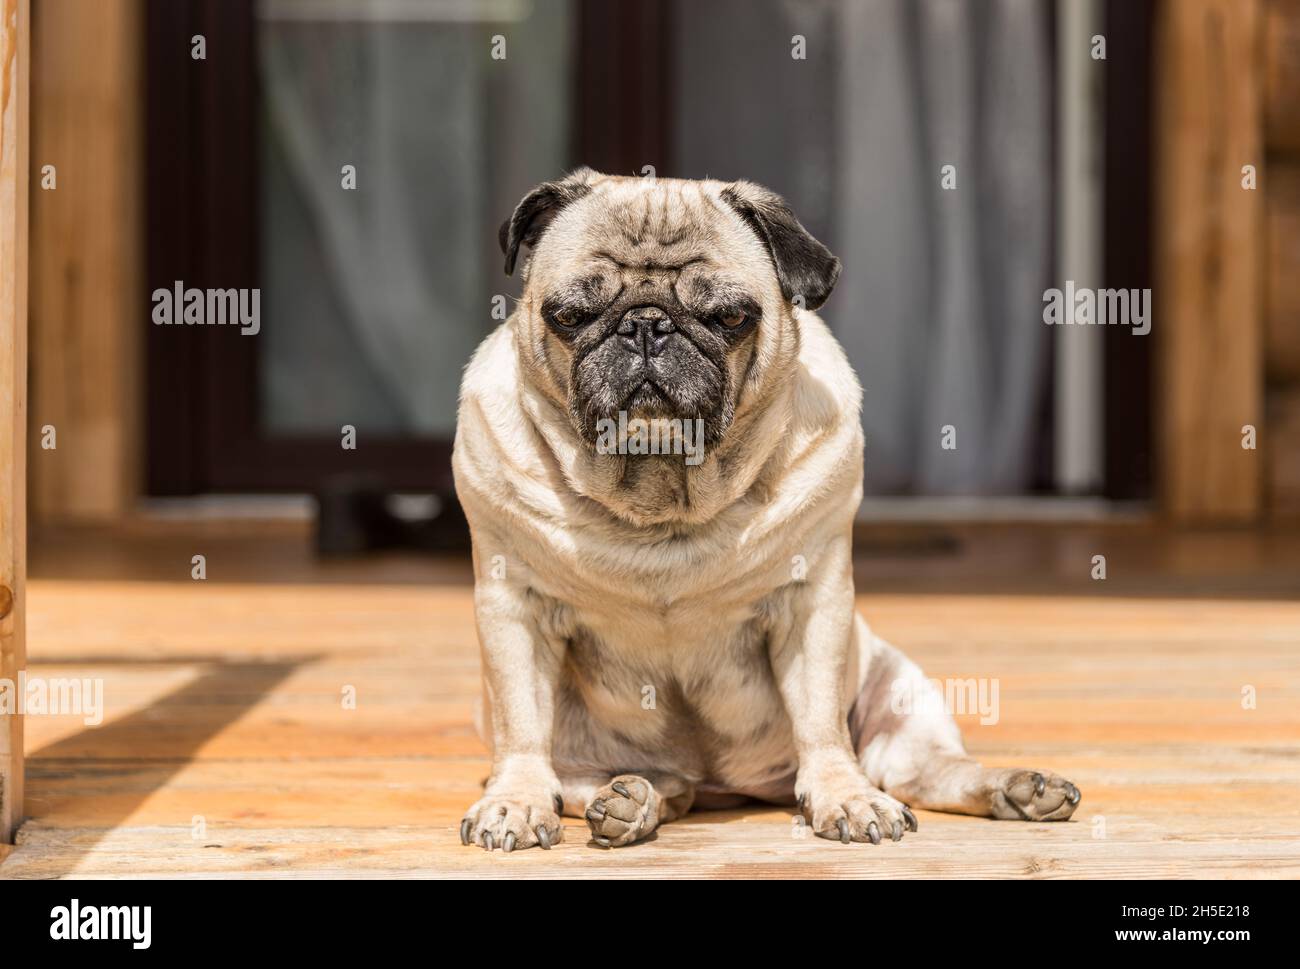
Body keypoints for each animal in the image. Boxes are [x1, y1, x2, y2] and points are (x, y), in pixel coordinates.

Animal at [452, 170, 1081, 848]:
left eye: (729, 316)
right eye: (571, 315)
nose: (646, 326)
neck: (661, 497)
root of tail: (722, 786)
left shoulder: (812, 601)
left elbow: (822, 722)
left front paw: (844, 796)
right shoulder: (514, 603)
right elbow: (521, 725)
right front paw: (516, 802)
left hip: (901, 694)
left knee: (926, 772)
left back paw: (1019, 789)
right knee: (639, 786)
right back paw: (629, 801)